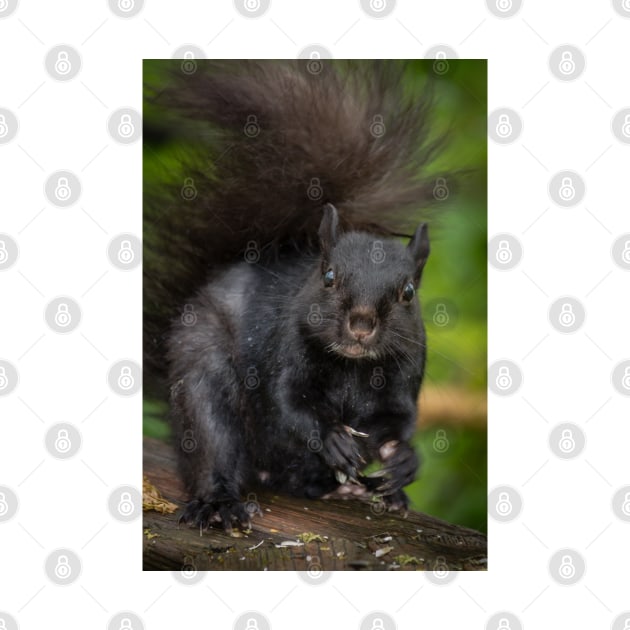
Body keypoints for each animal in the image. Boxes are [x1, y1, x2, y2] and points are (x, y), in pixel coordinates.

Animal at [145, 60, 454, 532]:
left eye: (407, 292)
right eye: (328, 277)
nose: (361, 325)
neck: (352, 369)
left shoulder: (404, 376)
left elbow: (398, 425)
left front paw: (403, 462)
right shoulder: (282, 352)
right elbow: (287, 406)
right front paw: (331, 437)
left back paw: (360, 491)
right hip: (203, 370)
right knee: (214, 438)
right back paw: (219, 503)